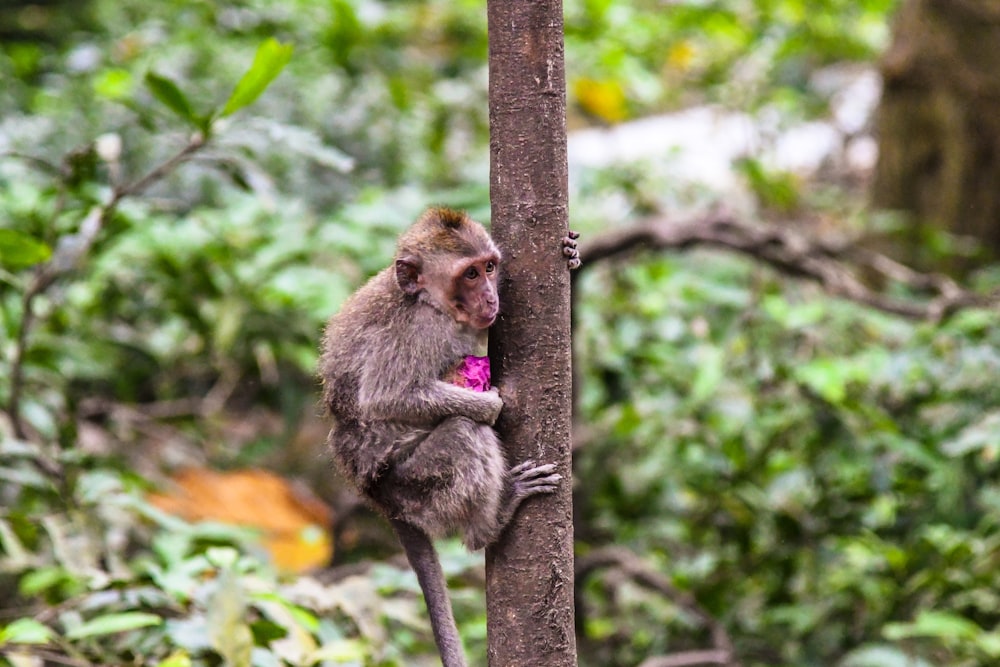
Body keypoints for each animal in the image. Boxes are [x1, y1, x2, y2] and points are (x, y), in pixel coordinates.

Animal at [320, 209, 584, 667]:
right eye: (470, 274)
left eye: (490, 268)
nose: (491, 298)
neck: (428, 302)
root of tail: (375, 495)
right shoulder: (420, 330)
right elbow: (386, 396)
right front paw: (490, 405)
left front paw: (570, 255)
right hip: (410, 482)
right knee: (463, 433)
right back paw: (492, 521)